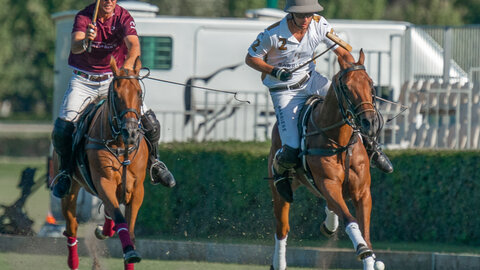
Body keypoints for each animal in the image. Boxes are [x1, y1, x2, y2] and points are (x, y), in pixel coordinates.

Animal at [61, 57, 149, 270]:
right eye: (116, 95)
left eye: (139, 93)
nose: (131, 132)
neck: (122, 145)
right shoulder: (104, 181)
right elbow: (119, 217)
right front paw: (130, 251)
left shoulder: (137, 188)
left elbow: (129, 228)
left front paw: (130, 253)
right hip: (70, 188)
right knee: (72, 227)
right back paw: (74, 261)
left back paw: (104, 229)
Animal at [270, 49, 386, 270]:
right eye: (346, 87)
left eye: (370, 83)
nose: (370, 122)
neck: (339, 141)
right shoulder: (328, 183)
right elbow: (350, 219)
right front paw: (362, 250)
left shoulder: (362, 192)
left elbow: (365, 231)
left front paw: (370, 259)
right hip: (281, 189)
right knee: (282, 228)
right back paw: (278, 263)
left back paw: (329, 224)